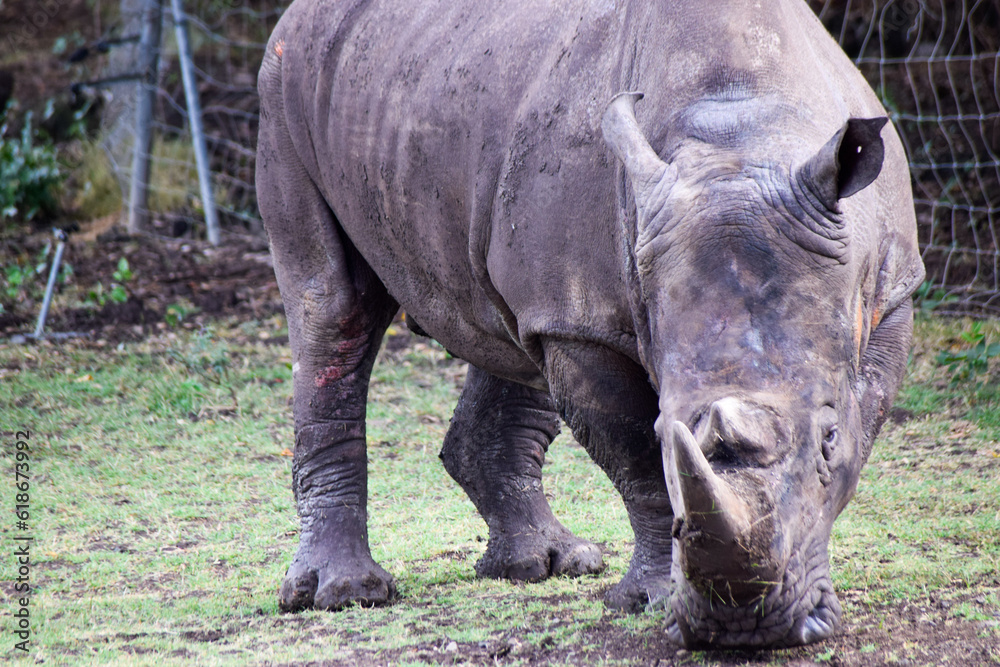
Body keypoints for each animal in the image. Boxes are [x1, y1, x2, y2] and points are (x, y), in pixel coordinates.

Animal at [256, 0, 925, 648]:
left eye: (828, 439)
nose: (744, 632)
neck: (741, 138)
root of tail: (297, 13)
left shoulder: (893, 293)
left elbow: (863, 423)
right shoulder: (583, 324)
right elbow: (636, 461)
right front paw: (653, 599)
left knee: (507, 334)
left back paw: (546, 564)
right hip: (285, 83)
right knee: (331, 312)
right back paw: (343, 595)